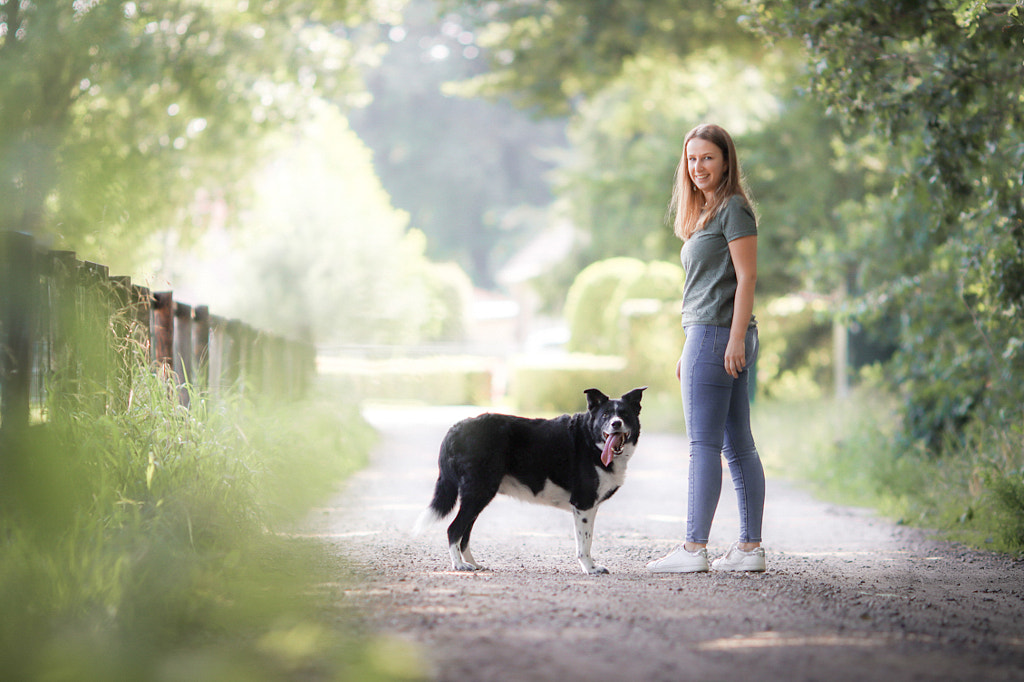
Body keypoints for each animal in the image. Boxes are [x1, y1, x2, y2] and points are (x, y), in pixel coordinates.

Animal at [413, 385, 638, 569]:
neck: (591, 440)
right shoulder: (583, 505)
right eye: (606, 415)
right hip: (479, 492)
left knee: (464, 533)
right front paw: (590, 568)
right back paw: (459, 565)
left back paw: (473, 564)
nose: (616, 424)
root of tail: (456, 428)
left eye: (625, 414)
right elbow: (585, 543)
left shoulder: (588, 507)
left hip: (478, 496)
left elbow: (586, 540)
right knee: (454, 530)